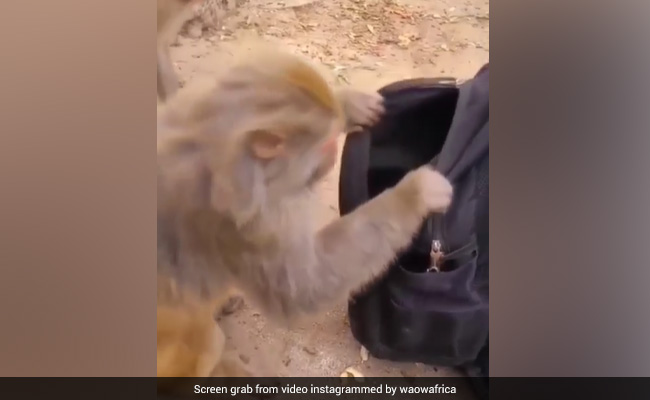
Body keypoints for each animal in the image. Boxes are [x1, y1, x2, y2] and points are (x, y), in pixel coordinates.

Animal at [156, 45, 453, 377]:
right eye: (324, 147)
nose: (331, 156)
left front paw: (346, 103)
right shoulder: (247, 225)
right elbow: (305, 290)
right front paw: (415, 194)